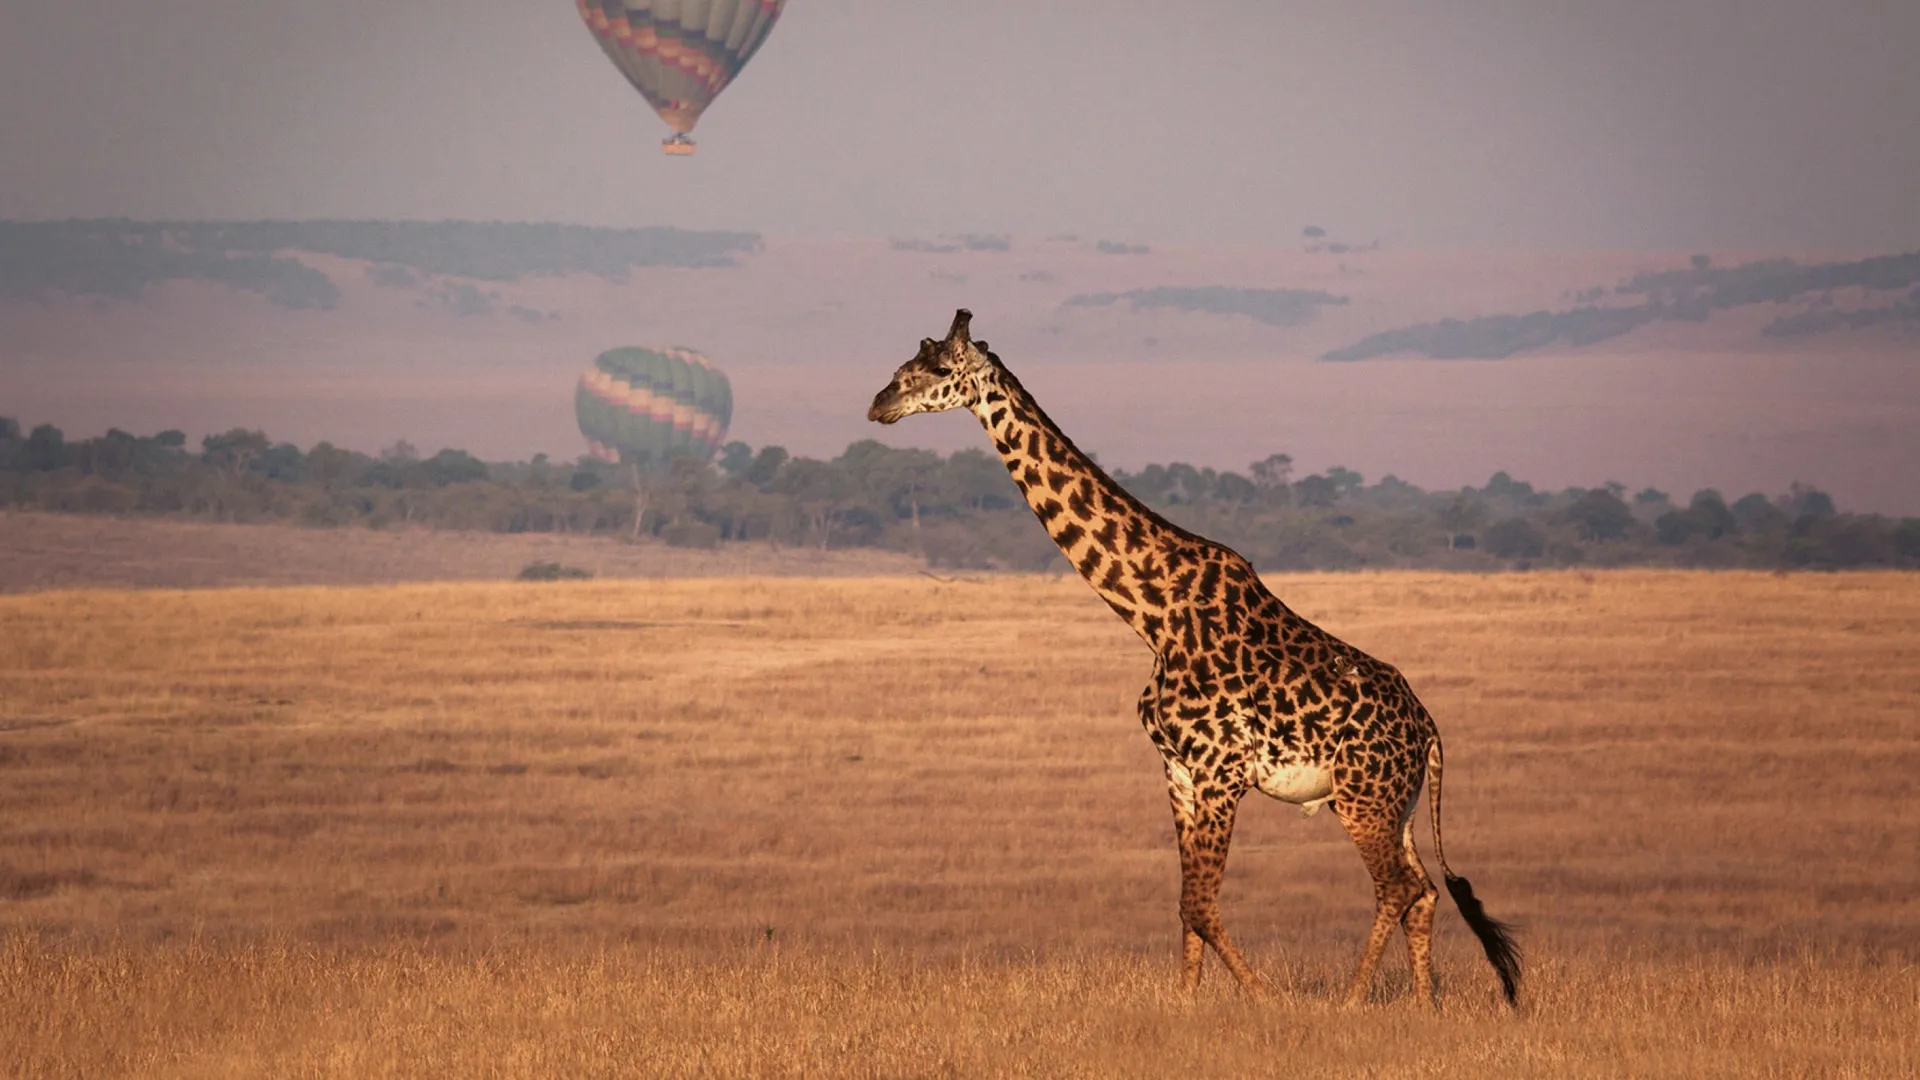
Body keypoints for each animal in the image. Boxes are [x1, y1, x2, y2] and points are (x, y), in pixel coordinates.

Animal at [867, 310, 1521, 1009]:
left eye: (938, 368)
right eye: (905, 364)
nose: (879, 404)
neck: (1153, 613)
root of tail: (1428, 728)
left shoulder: (1219, 771)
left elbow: (1203, 906)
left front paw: (1266, 998)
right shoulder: (1178, 770)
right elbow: (1186, 907)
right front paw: (1186, 1002)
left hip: (1361, 798)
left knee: (1399, 887)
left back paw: (1349, 1001)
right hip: (1394, 802)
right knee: (1422, 891)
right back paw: (1424, 1004)